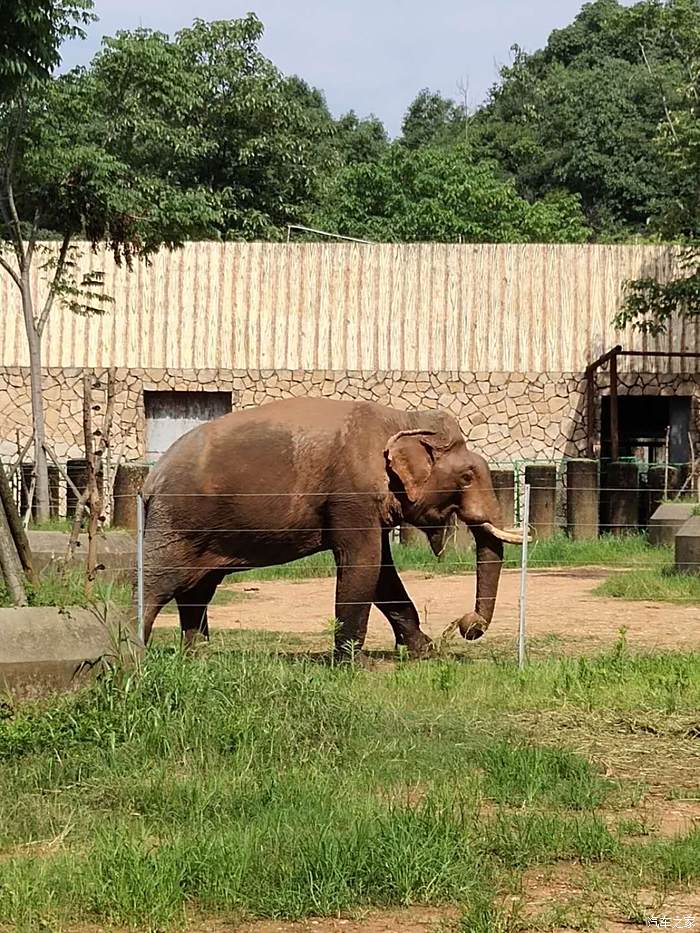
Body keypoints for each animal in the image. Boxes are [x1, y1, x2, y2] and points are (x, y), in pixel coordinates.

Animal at [141, 396, 524, 656]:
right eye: (467, 476)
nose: (465, 626)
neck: (401, 418)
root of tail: (151, 479)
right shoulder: (351, 494)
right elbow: (364, 565)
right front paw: (354, 664)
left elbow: (384, 574)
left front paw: (424, 653)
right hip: (177, 522)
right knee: (159, 583)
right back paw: (137, 654)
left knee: (197, 591)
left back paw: (199, 657)